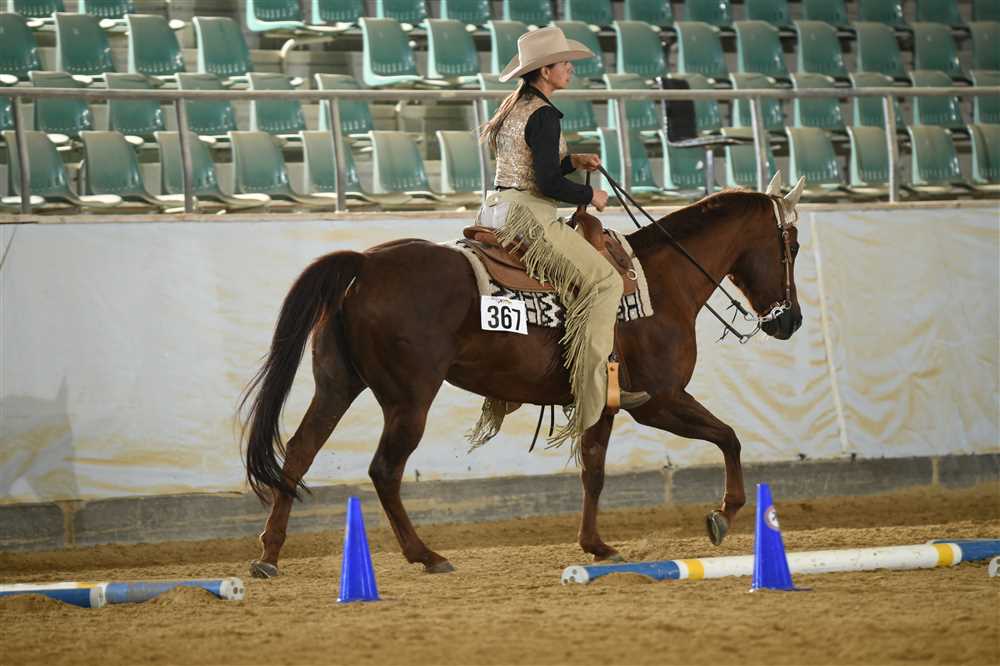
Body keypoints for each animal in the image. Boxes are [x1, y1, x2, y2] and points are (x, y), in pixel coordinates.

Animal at [241, 174, 806, 578]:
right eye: (794, 246)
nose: (791, 321)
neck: (660, 282)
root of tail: (364, 262)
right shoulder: (659, 400)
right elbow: (729, 437)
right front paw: (723, 514)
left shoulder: (604, 400)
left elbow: (593, 469)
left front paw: (595, 545)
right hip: (408, 400)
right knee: (384, 470)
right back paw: (426, 555)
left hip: (337, 385)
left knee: (298, 452)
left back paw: (269, 554)